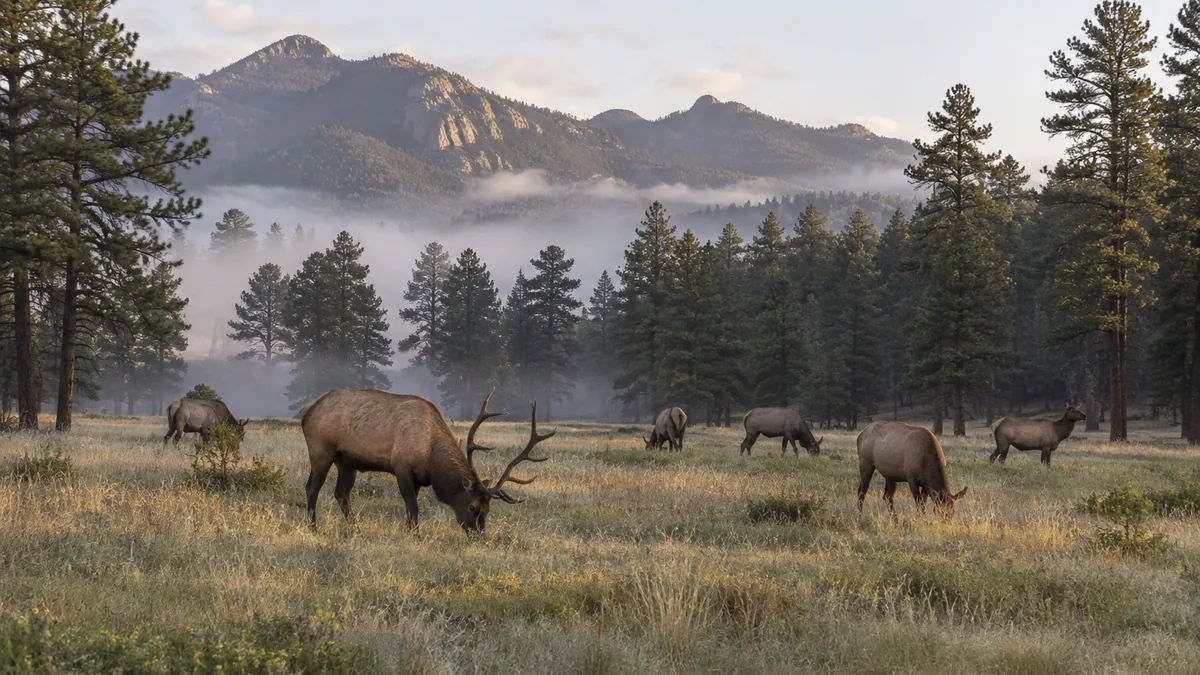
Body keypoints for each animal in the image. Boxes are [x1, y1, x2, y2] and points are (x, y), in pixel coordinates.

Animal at [298, 387, 552, 534]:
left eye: (488, 509)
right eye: (472, 507)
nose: (479, 536)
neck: (431, 457)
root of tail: (306, 410)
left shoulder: (419, 478)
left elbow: (412, 507)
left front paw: (409, 532)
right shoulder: (401, 466)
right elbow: (413, 506)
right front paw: (415, 535)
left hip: (346, 461)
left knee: (342, 493)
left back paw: (356, 528)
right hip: (321, 450)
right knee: (312, 487)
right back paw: (313, 528)